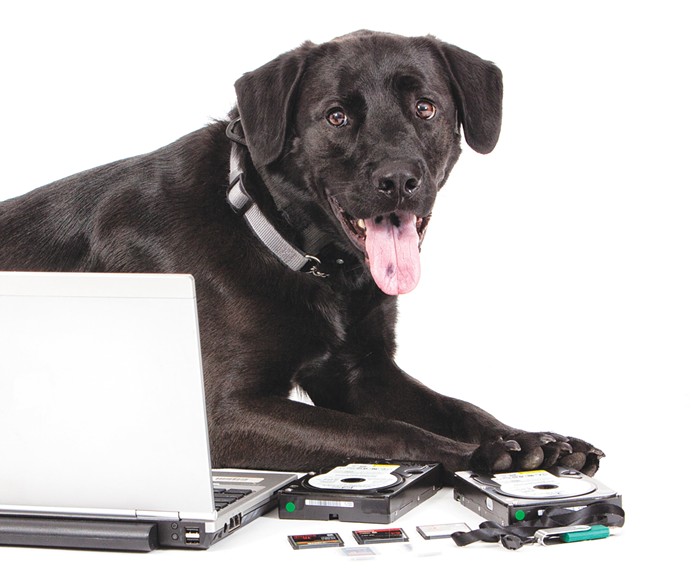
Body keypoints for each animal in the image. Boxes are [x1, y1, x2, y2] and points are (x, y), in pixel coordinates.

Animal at [0, 33, 600, 480]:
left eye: (425, 108)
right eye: (336, 117)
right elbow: (384, 432)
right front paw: (476, 454)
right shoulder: (225, 414)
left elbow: (457, 406)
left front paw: (527, 437)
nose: (399, 180)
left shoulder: (361, 371)